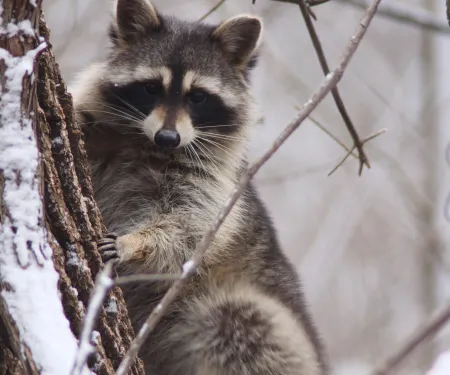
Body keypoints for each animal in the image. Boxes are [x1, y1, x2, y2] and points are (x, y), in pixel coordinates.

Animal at [72, 0, 328, 375]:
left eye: (198, 97)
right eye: (152, 88)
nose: (168, 136)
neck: (148, 145)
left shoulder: (214, 185)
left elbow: (189, 230)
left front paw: (135, 242)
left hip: (273, 330)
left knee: (242, 322)